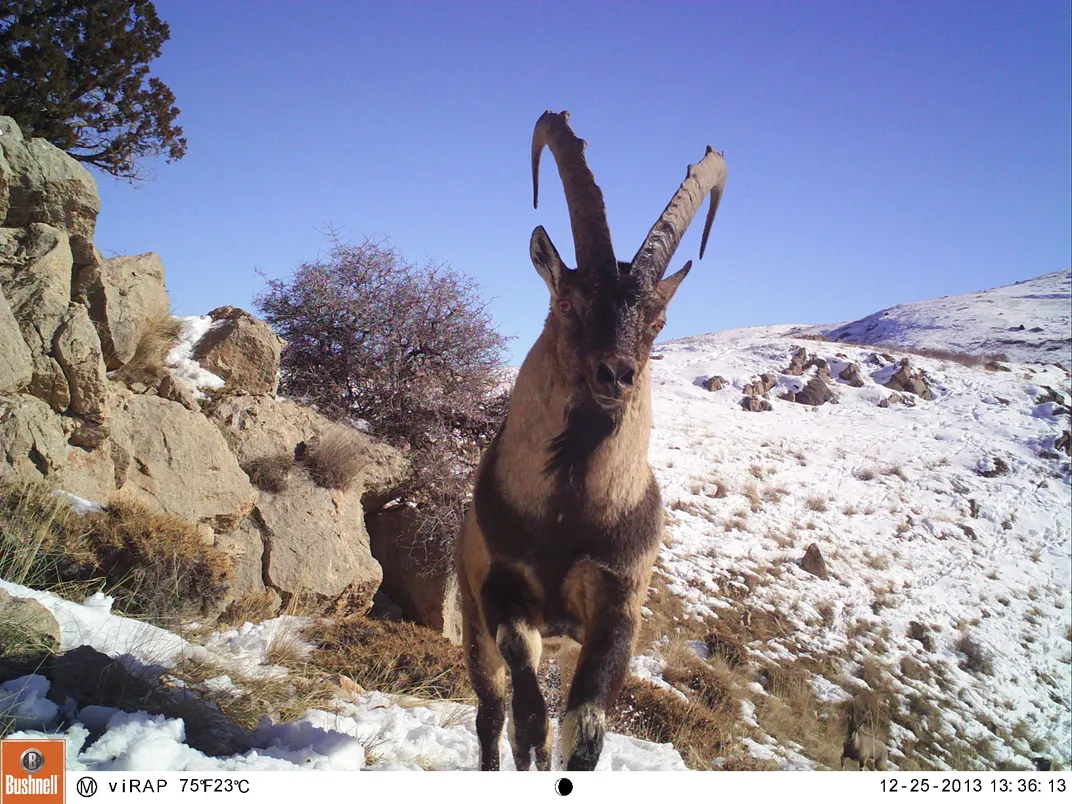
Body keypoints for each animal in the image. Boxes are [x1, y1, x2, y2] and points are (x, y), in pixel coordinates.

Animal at [452, 113, 728, 776]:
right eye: (569, 301)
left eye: (657, 320)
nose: (616, 375)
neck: (566, 513)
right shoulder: (503, 592)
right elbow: (529, 716)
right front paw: (531, 744)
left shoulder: (619, 605)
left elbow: (583, 731)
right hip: (471, 623)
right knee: (491, 714)